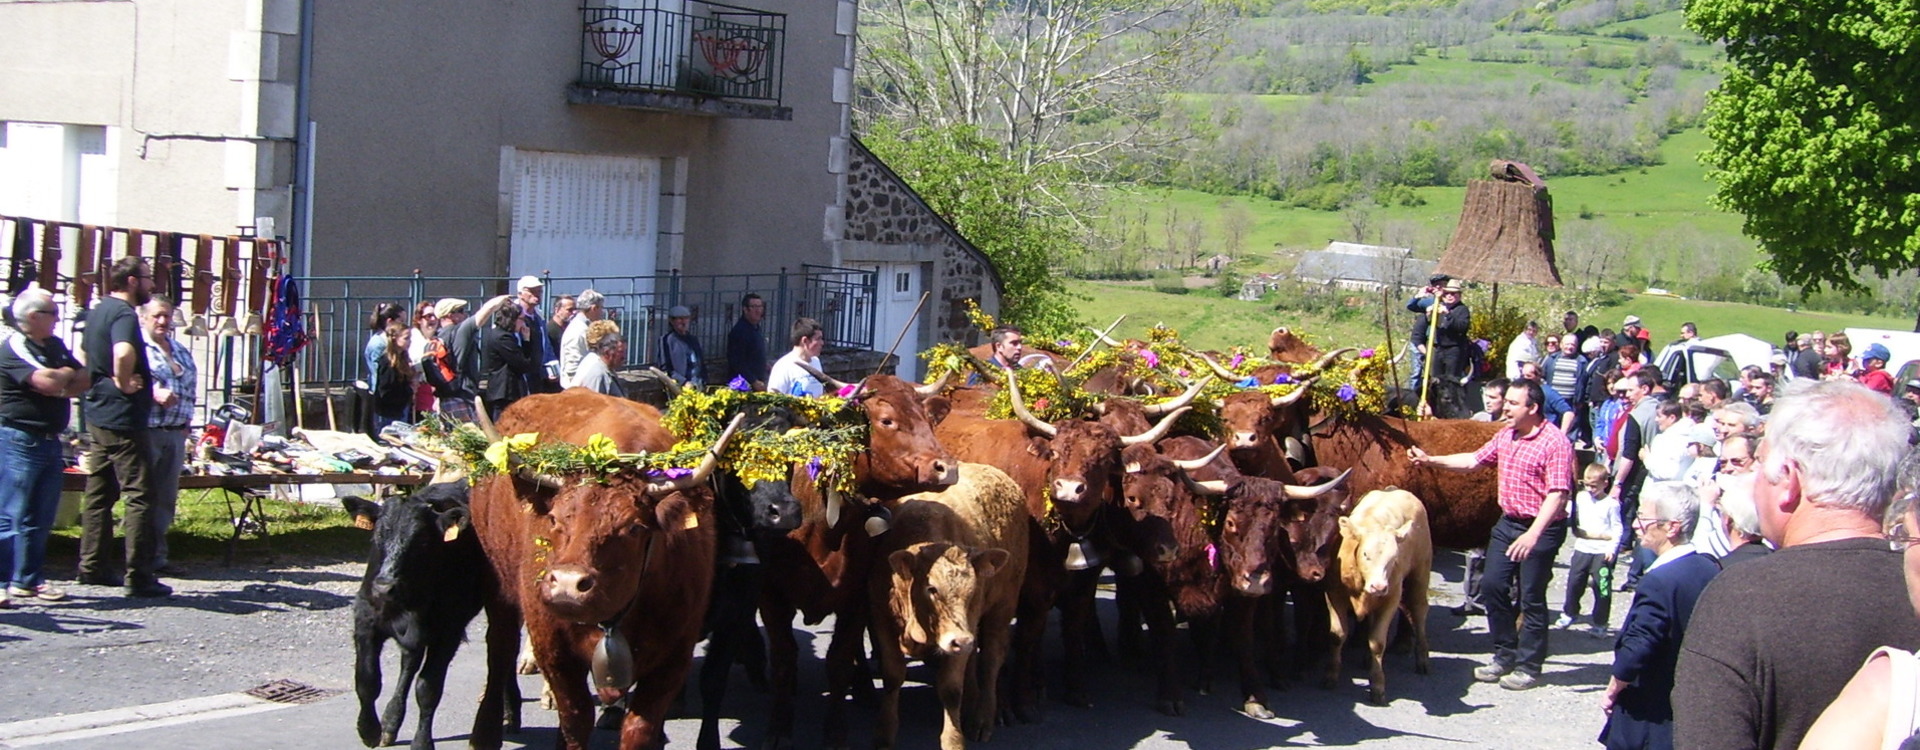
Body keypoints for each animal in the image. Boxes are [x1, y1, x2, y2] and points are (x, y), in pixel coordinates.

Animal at [343, 485, 503, 748]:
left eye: (422, 542)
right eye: (378, 535)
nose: (384, 587)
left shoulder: (448, 631)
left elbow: (428, 689)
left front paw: (421, 742)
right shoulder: (366, 618)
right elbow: (367, 680)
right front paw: (369, 729)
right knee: (409, 661)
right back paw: (390, 722)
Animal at [464, 393, 741, 750]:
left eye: (635, 527)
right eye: (553, 518)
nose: (567, 585)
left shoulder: (674, 655)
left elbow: (639, 728)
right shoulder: (553, 649)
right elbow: (576, 720)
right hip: (496, 582)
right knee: (500, 648)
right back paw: (486, 731)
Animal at [871, 464, 1029, 750]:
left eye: (973, 588)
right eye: (931, 588)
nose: (961, 641)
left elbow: (951, 689)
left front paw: (954, 740)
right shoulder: (881, 616)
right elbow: (892, 676)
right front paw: (884, 734)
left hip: (1002, 607)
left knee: (991, 660)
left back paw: (983, 717)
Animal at [933, 372, 1190, 721]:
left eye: (1103, 458)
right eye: (1055, 453)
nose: (1069, 489)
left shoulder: (1083, 581)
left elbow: (1071, 628)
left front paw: (1074, 689)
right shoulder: (1027, 585)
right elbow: (1025, 636)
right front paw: (1019, 701)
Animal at [1328, 487, 1436, 705]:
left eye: (1394, 558)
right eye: (1366, 554)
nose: (1378, 586)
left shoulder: (1390, 599)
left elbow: (1377, 643)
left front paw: (1377, 685)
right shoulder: (1334, 594)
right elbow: (1338, 635)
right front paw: (1331, 676)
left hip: (1420, 572)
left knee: (1419, 611)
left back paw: (1422, 658)